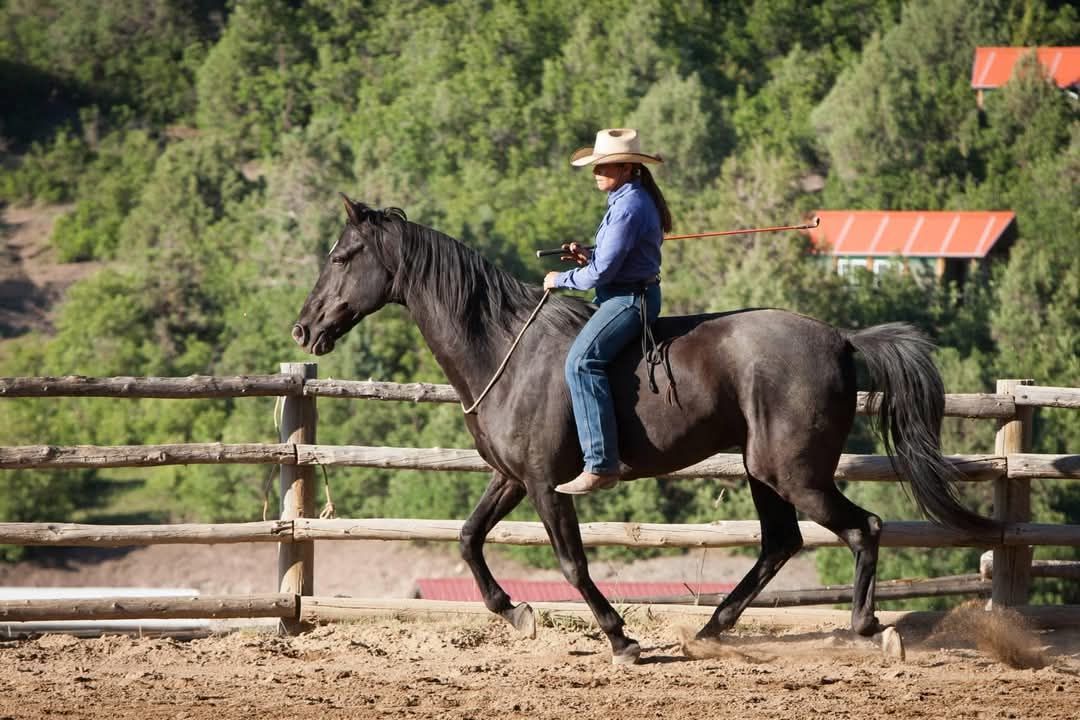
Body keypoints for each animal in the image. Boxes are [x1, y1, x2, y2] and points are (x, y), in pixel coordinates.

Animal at [289, 195, 993, 664]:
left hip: (795, 474)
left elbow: (572, 563)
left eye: (342, 255)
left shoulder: (545, 484)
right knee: (780, 544)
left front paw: (620, 637)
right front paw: (517, 614)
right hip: (762, 473)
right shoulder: (511, 478)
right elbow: (468, 539)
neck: (506, 352)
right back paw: (711, 630)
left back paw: (869, 628)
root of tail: (842, 340)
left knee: (862, 528)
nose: (303, 329)